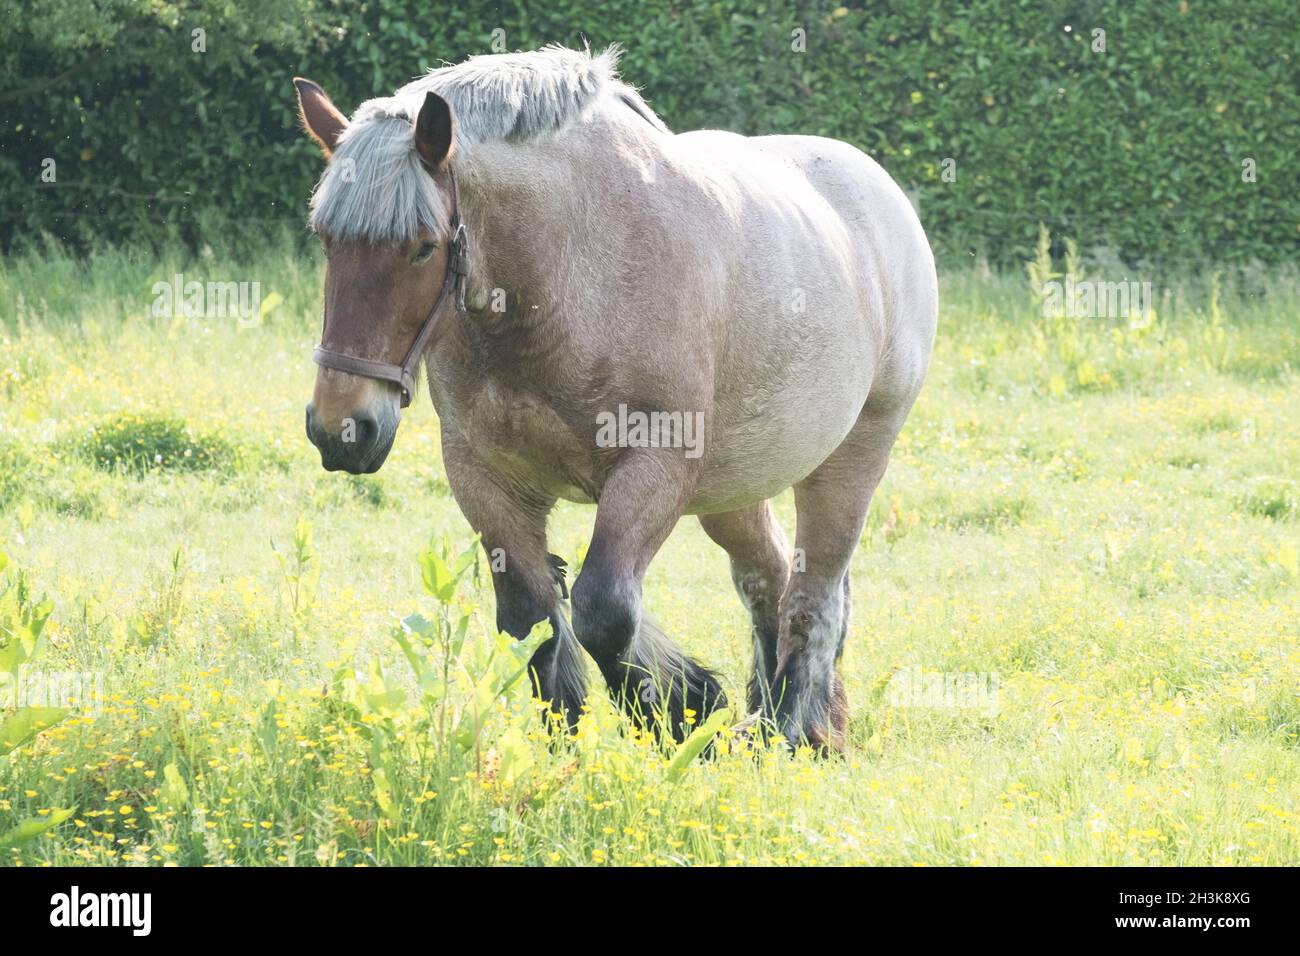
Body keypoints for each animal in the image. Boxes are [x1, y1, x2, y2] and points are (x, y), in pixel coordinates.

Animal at [297, 44, 935, 749]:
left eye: (422, 248)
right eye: (327, 238)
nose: (340, 426)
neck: (567, 272)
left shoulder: (652, 469)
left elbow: (604, 610)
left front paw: (679, 712)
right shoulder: (484, 477)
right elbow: (533, 619)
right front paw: (571, 752)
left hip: (852, 459)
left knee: (814, 596)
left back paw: (794, 732)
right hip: (736, 487)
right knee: (768, 578)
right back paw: (774, 721)